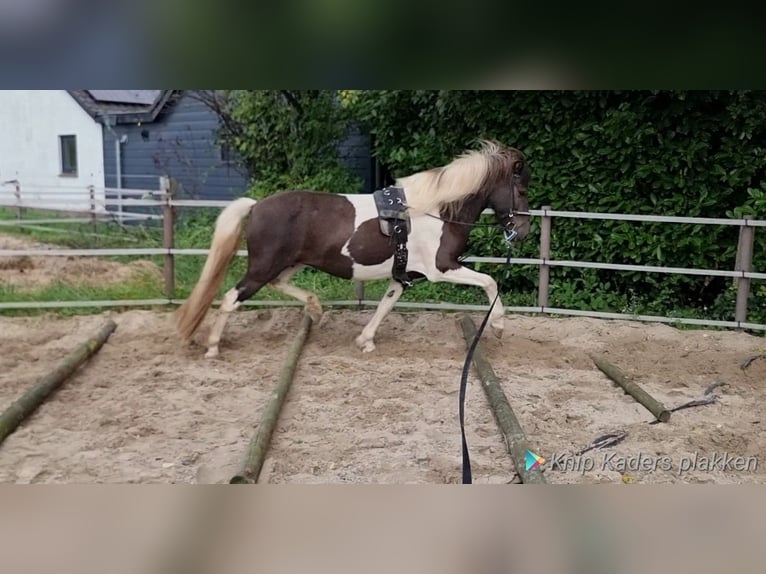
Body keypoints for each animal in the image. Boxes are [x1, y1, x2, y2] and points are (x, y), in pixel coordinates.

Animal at [175, 140, 532, 358]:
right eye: (523, 190)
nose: (523, 231)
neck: (436, 210)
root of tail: (257, 205)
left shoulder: (404, 275)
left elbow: (386, 305)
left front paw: (366, 340)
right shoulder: (441, 268)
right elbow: (490, 282)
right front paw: (499, 326)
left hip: (289, 264)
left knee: (278, 285)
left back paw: (315, 308)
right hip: (262, 268)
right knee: (230, 299)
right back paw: (213, 347)